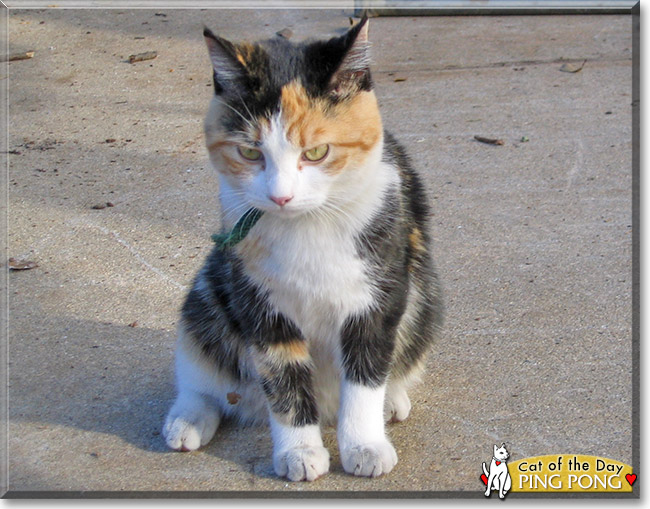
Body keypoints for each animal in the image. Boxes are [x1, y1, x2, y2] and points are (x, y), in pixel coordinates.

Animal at [163, 17, 440, 480]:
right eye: (249, 151)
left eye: (316, 151)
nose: (281, 197)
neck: (309, 226)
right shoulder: (258, 300)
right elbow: (282, 376)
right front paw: (300, 452)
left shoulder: (380, 293)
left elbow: (365, 375)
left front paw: (364, 444)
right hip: (211, 286)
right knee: (203, 369)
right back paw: (188, 419)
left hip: (423, 296)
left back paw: (392, 400)